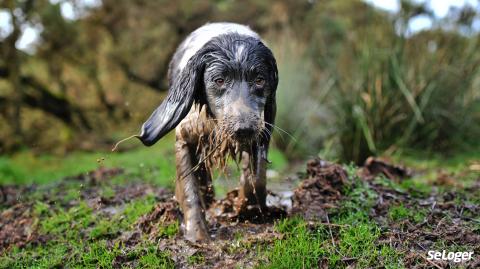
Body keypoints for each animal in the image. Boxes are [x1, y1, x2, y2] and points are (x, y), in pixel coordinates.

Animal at [135, 22, 278, 241]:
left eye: (260, 80)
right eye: (219, 80)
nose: (243, 129)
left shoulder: (260, 132)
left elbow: (256, 177)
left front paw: (248, 209)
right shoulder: (185, 137)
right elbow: (190, 189)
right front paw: (197, 234)